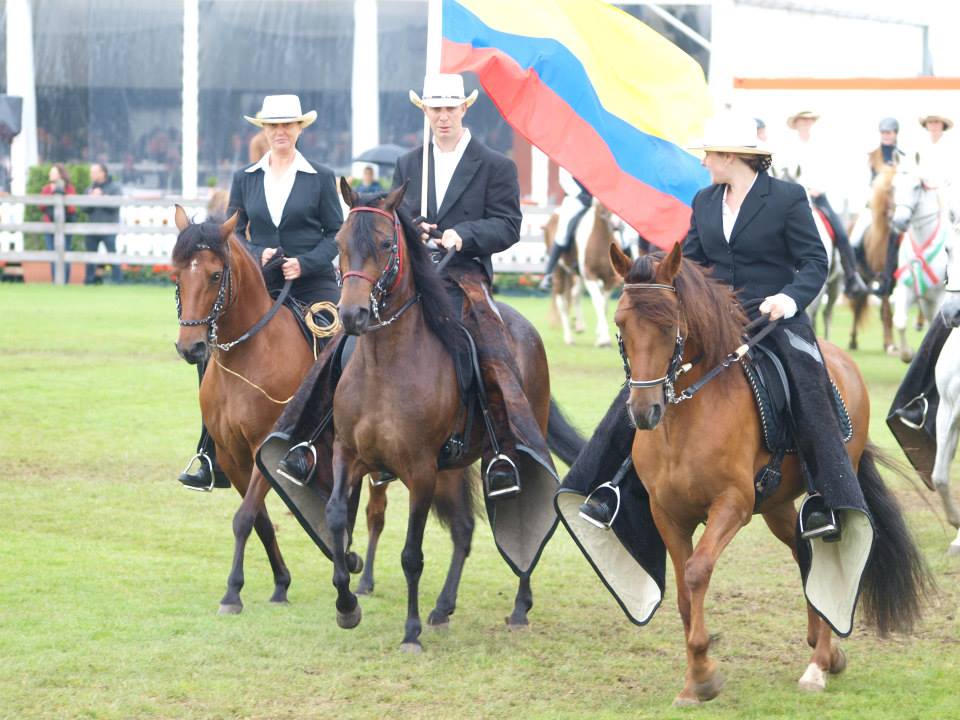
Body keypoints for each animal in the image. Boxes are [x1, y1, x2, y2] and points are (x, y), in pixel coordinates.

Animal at [326, 179, 582, 651]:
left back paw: (520, 606)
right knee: (463, 530)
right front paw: (347, 604)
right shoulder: (348, 456)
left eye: (386, 244)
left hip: (506, 453)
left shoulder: (421, 471)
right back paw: (444, 607)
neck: (384, 368)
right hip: (451, 470)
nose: (353, 315)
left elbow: (412, 554)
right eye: (339, 242)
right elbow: (336, 519)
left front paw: (410, 632)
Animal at [607, 241, 929, 705]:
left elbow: (697, 572)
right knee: (802, 552)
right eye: (621, 324)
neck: (684, 419)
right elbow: (685, 595)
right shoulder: (667, 514)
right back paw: (825, 651)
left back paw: (819, 664)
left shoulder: (733, 504)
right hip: (776, 505)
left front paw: (704, 674)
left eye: (669, 326)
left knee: (822, 553)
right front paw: (693, 681)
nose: (643, 411)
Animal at [890, 168, 956, 362]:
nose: (899, 222)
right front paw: (907, 354)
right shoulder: (906, 289)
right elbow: (900, 321)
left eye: (916, 186)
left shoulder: (940, 297)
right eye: (894, 186)